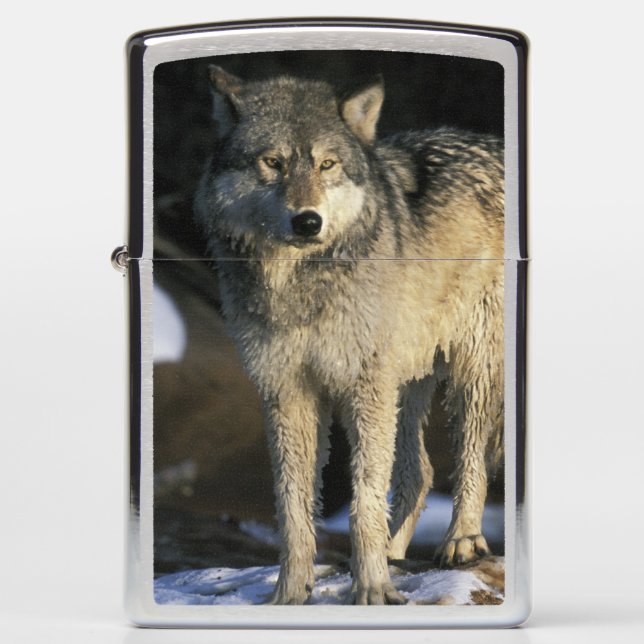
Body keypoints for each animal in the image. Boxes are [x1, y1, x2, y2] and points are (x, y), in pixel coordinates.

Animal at [195, 65, 505, 605]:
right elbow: (294, 510)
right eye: (273, 163)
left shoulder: (363, 387)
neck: (297, 284)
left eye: (327, 164)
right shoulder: (287, 391)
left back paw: (461, 541)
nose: (308, 221)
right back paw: (396, 551)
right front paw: (290, 593)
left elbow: (363, 500)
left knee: (471, 461)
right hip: (405, 383)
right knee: (420, 473)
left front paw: (373, 587)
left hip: (469, 370)